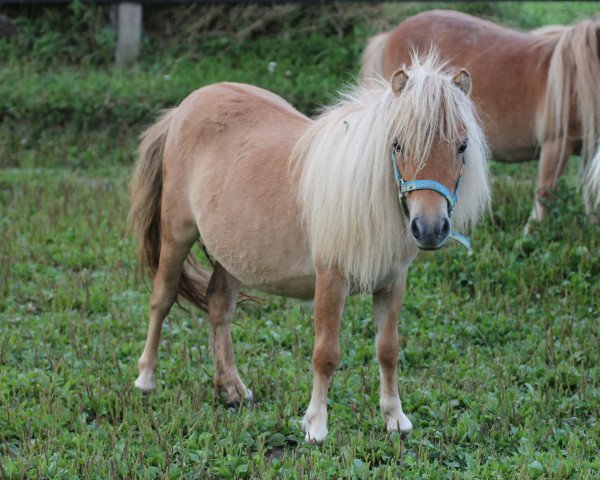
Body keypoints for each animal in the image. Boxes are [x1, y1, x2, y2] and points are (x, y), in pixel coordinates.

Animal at [129, 52, 490, 442]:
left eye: (462, 146)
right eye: (397, 144)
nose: (430, 228)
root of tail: (183, 108)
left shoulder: (392, 283)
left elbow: (388, 350)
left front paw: (395, 418)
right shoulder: (331, 280)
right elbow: (325, 353)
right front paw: (315, 424)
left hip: (231, 254)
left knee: (219, 307)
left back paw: (232, 389)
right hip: (176, 234)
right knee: (162, 298)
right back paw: (146, 379)